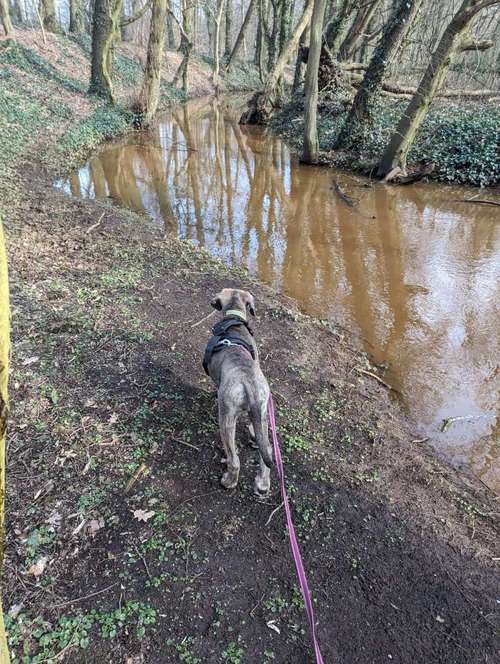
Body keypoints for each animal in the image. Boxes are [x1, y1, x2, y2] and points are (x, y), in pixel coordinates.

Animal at [203, 288, 274, 496]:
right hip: (262, 412)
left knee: (234, 459)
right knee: (267, 449)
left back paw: (228, 481)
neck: (233, 319)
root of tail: (249, 383)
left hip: (226, 418)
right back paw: (262, 483)